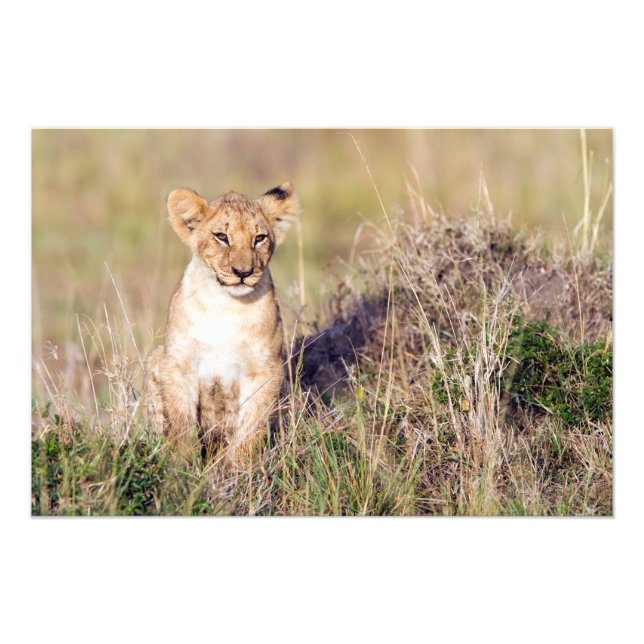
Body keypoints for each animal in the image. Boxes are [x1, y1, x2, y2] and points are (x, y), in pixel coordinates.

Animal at [146, 182, 300, 468]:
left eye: (259, 238)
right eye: (221, 236)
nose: (243, 272)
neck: (225, 305)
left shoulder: (265, 369)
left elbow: (251, 426)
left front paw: (238, 469)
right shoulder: (178, 362)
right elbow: (181, 422)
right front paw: (182, 466)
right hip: (155, 358)